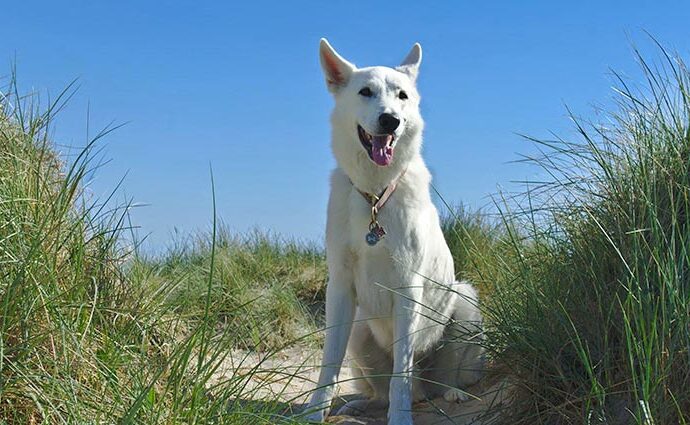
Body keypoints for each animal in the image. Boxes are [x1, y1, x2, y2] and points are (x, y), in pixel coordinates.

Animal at [306, 38, 484, 422]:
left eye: (402, 95)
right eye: (366, 92)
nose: (391, 120)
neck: (375, 195)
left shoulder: (408, 287)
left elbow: (401, 372)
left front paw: (400, 418)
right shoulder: (339, 287)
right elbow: (329, 364)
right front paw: (313, 412)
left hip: (464, 301)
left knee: (437, 381)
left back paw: (452, 393)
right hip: (360, 330)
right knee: (384, 390)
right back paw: (364, 403)